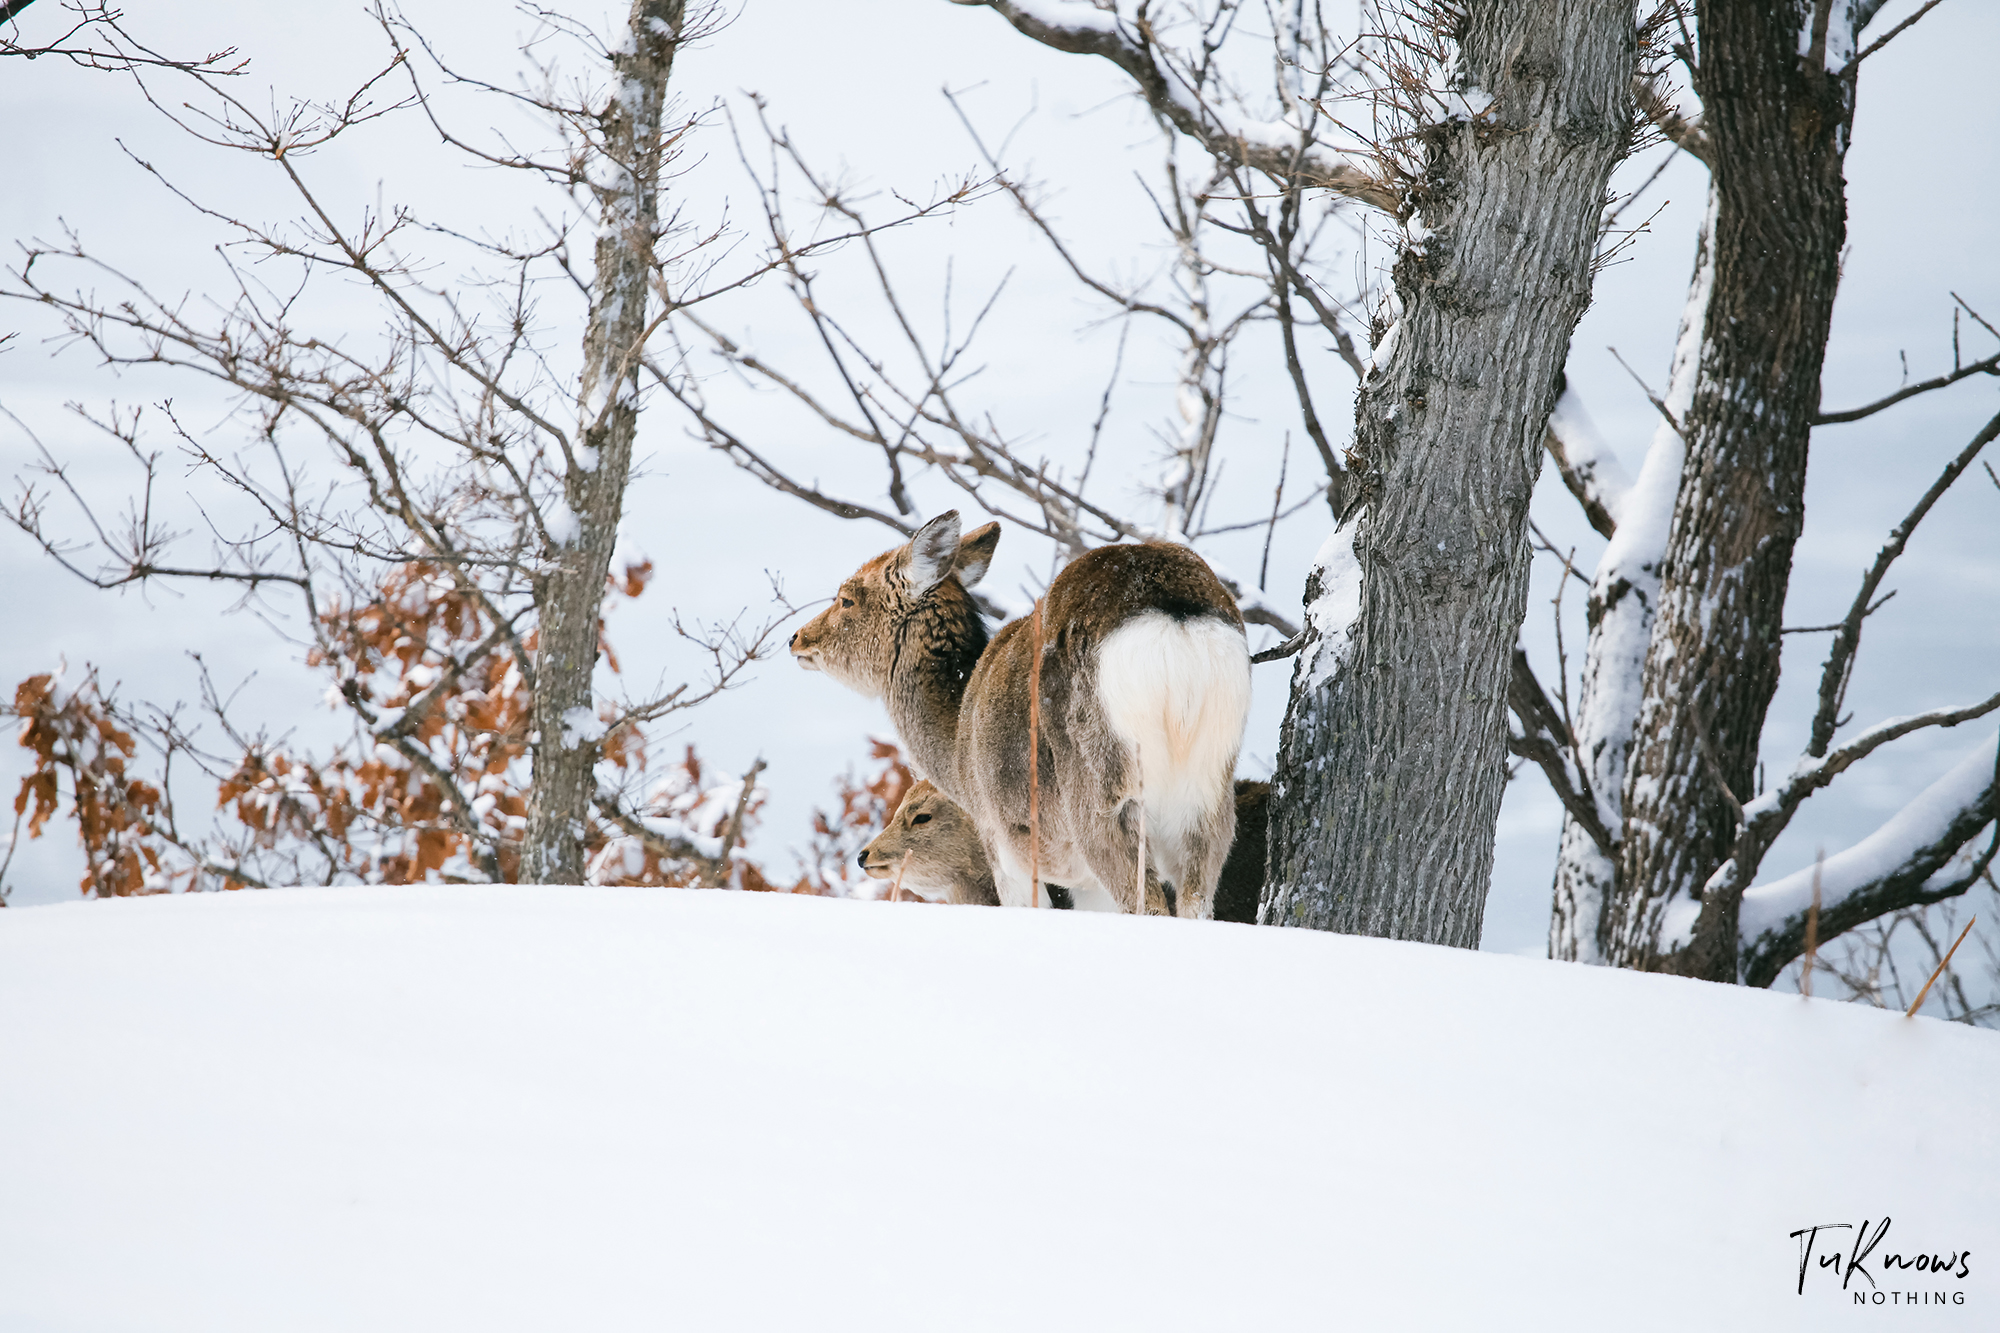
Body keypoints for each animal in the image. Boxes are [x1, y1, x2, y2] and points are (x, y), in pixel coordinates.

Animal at [784, 512, 1240, 920]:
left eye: (847, 598)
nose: (797, 638)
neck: (955, 745)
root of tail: (1170, 613)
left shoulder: (999, 837)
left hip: (1100, 786)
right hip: (1210, 789)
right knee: (1197, 902)